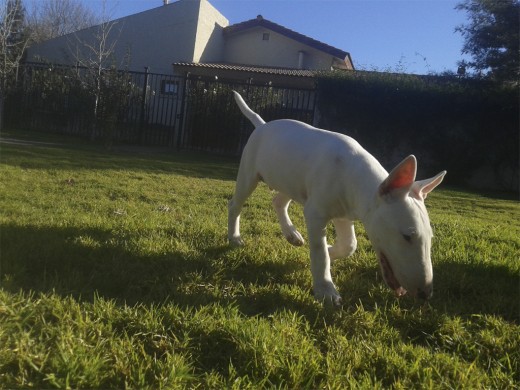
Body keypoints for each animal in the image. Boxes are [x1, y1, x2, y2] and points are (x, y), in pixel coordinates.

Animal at [230, 91, 444, 304]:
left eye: (430, 237)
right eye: (407, 236)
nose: (425, 294)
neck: (355, 175)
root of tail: (263, 125)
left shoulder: (344, 214)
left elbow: (350, 245)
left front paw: (330, 250)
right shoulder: (315, 213)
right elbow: (319, 252)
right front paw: (326, 291)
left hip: (291, 181)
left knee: (278, 202)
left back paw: (292, 234)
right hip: (250, 173)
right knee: (236, 203)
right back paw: (234, 237)